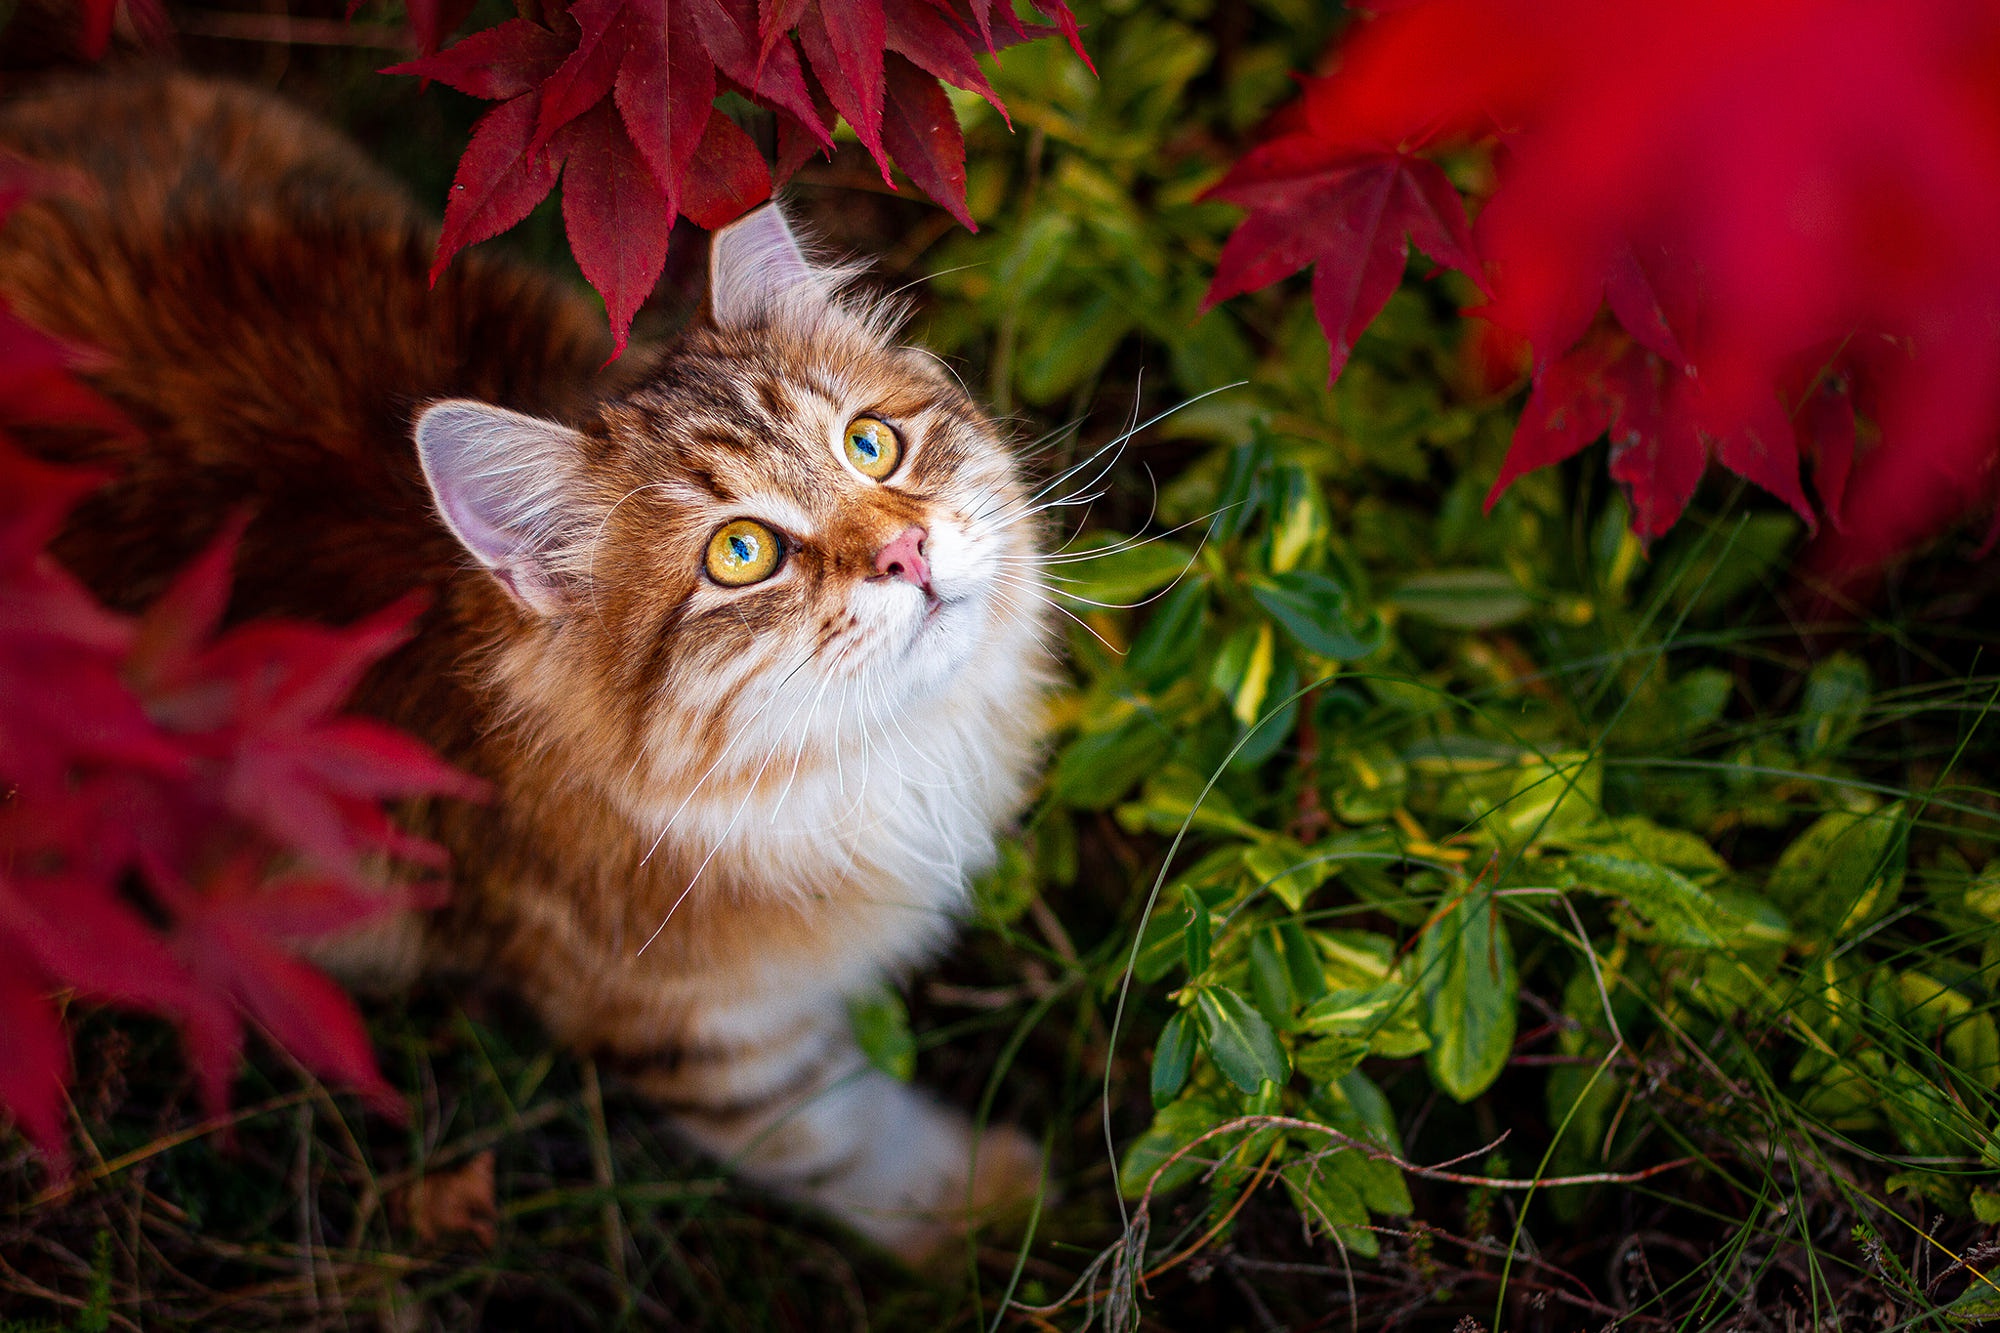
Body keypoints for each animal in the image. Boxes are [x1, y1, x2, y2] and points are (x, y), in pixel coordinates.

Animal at [0, 70, 1056, 1256]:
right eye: (741, 554)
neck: (856, 769)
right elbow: (847, 1138)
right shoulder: (692, 1027)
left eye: (872, 445)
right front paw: (990, 1210)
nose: (905, 549)